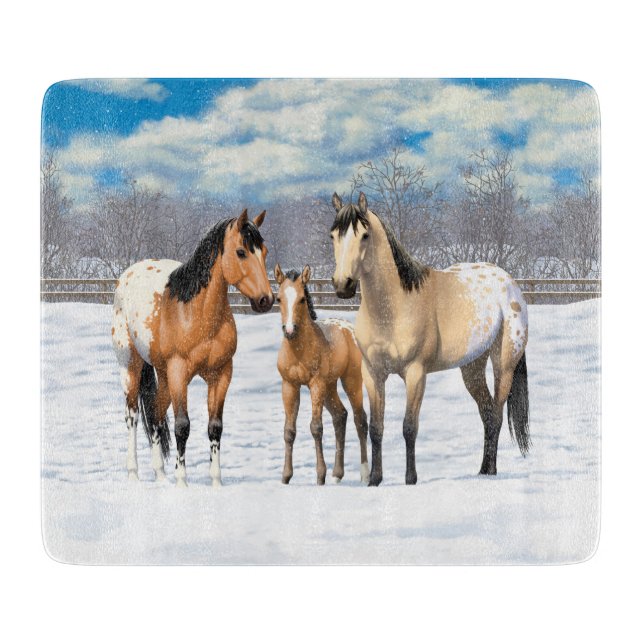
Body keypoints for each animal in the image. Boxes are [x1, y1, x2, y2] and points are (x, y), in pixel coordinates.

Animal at [111, 209, 274, 487]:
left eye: (263, 251)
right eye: (241, 252)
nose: (266, 300)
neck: (196, 314)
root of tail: (128, 275)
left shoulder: (221, 374)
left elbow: (215, 427)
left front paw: (216, 482)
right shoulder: (179, 373)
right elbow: (182, 426)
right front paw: (182, 482)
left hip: (163, 375)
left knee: (155, 415)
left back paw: (160, 475)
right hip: (131, 366)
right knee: (132, 416)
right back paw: (133, 474)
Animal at [274, 264, 369, 485]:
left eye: (302, 299)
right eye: (279, 298)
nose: (289, 330)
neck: (299, 350)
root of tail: (349, 329)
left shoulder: (315, 384)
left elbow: (316, 427)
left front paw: (320, 476)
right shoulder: (289, 385)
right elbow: (289, 431)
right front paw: (286, 476)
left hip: (350, 381)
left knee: (360, 420)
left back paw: (365, 474)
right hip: (330, 386)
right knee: (340, 416)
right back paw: (337, 474)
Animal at [329, 192, 530, 486]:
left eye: (364, 235)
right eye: (333, 235)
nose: (343, 285)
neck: (394, 307)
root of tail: (510, 283)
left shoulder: (415, 373)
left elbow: (409, 427)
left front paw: (410, 479)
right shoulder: (372, 373)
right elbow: (377, 428)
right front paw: (375, 479)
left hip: (504, 366)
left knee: (496, 413)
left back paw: (491, 471)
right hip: (472, 367)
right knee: (486, 413)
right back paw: (482, 470)